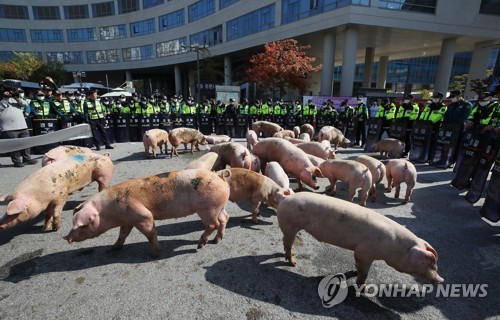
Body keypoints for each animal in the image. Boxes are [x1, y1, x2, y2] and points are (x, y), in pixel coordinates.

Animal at [63, 168, 232, 258]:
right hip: (219, 206)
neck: (109, 210)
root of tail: (219, 176)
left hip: (207, 208)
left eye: (82, 225)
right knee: (225, 218)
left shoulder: (141, 215)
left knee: (214, 224)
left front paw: (155, 254)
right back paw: (217, 241)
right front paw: (112, 249)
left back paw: (200, 245)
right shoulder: (127, 220)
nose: (66, 237)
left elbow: (150, 233)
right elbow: (122, 235)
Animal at [276, 192, 444, 284]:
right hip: (290, 224)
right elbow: (364, 272)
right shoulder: (364, 251)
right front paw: (365, 288)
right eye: (427, 263)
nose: (441, 280)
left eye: (435, 265)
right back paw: (293, 262)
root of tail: (284, 198)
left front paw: (355, 272)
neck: (396, 247)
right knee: (287, 243)